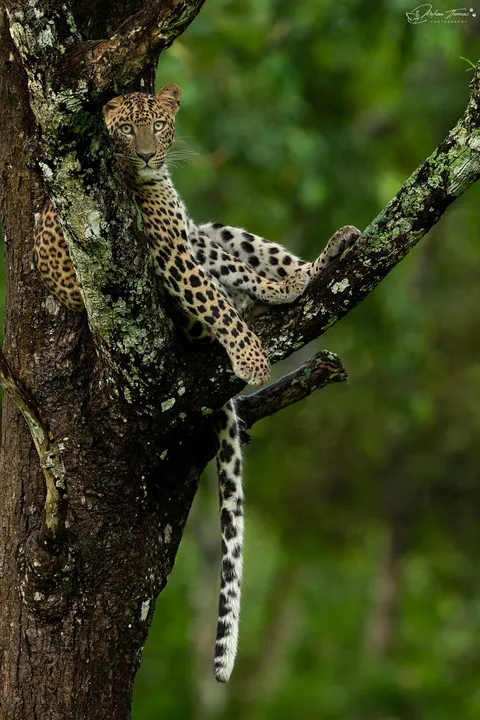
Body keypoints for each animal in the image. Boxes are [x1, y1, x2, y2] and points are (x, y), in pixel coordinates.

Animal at [33, 83, 360, 683]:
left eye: (160, 125)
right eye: (124, 129)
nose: (145, 156)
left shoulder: (184, 235)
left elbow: (238, 265)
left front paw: (293, 282)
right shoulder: (170, 251)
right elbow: (216, 296)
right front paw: (253, 357)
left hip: (207, 233)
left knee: (239, 248)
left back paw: (330, 254)